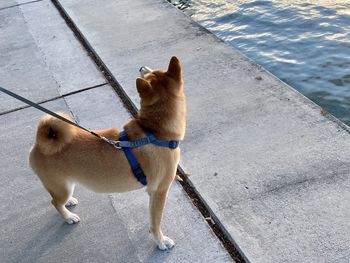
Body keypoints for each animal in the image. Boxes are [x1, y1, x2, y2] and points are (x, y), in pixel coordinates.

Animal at [29, 56, 187, 251]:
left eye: (154, 71)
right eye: (149, 73)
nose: (141, 67)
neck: (155, 132)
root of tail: (40, 143)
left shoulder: (152, 192)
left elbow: (152, 218)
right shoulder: (160, 191)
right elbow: (156, 222)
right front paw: (161, 241)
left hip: (65, 184)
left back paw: (70, 202)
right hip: (60, 187)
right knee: (55, 202)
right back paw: (68, 217)